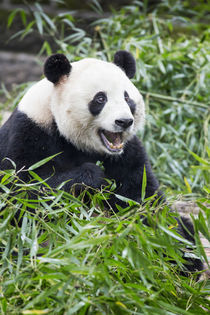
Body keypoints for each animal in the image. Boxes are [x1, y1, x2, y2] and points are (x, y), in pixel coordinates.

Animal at [0, 50, 203, 276]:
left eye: (127, 97)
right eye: (100, 98)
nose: (124, 121)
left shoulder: (127, 153)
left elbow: (145, 200)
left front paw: (177, 255)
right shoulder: (30, 134)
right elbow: (22, 195)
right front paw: (93, 177)